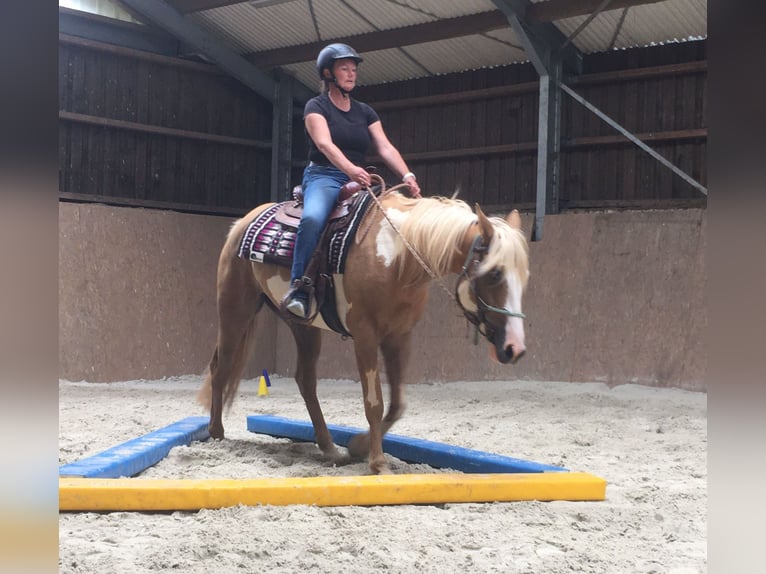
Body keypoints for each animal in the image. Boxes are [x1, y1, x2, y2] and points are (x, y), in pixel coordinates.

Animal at [198, 185, 530, 474]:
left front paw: (358, 446)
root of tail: (243, 222)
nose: (514, 349)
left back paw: (330, 448)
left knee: (305, 380)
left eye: (524, 275)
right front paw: (378, 463)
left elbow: (397, 404)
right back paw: (216, 432)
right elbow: (374, 403)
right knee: (221, 367)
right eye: (494, 273)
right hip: (235, 310)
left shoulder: (399, 337)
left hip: (302, 326)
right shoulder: (366, 336)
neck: (397, 257)